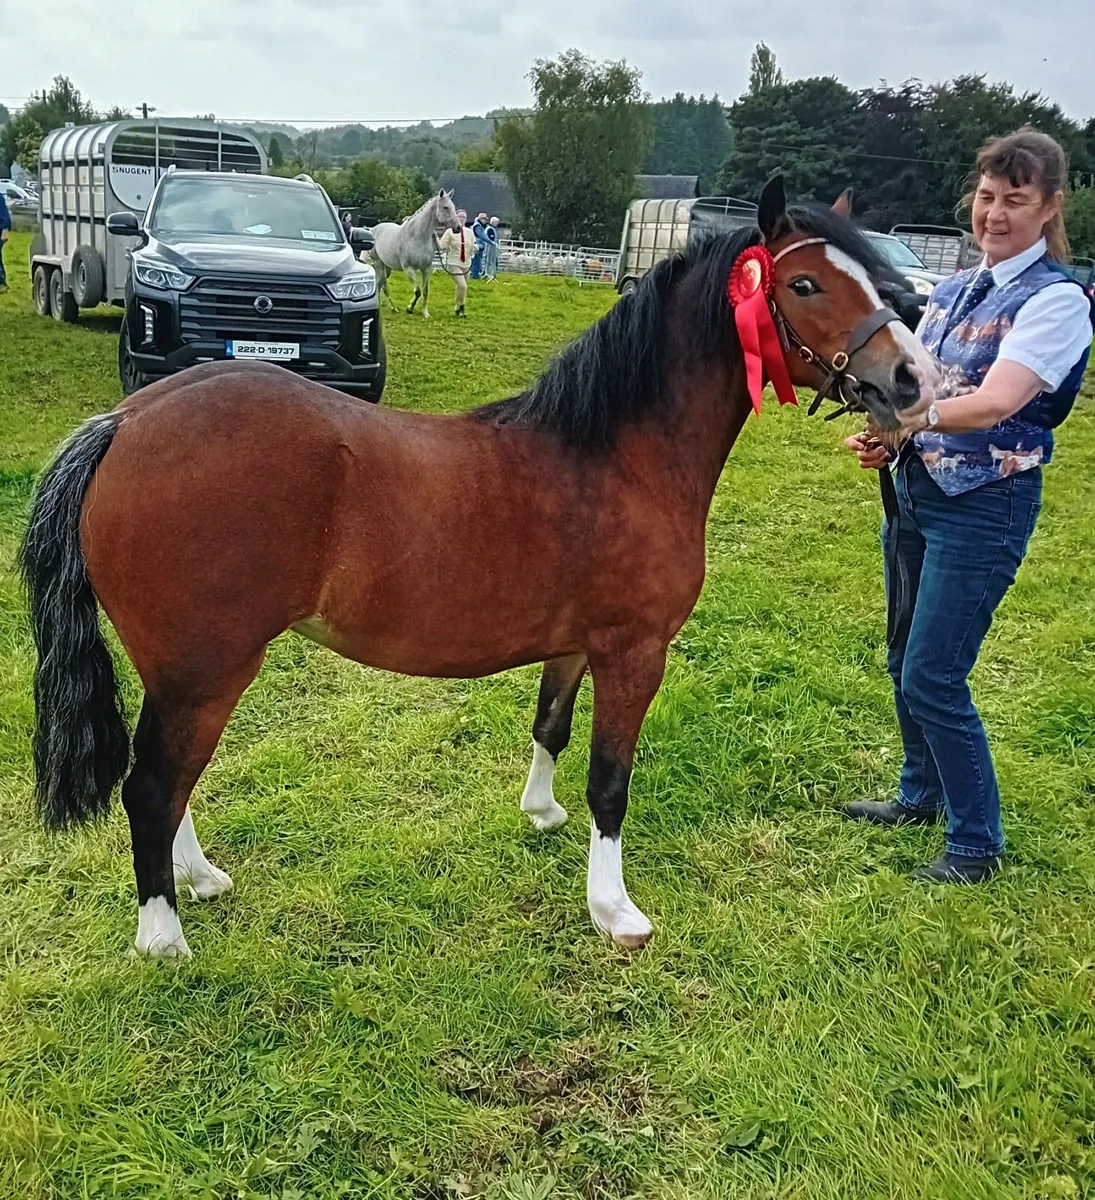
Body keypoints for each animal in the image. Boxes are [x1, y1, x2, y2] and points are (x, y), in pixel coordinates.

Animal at [367, 189, 460, 319]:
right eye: (445, 207)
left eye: (453, 207)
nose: (458, 227)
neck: (417, 236)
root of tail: (373, 229)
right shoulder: (409, 269)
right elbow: (418, 291)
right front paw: (409, 308)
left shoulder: (426, 268)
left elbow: (425, 291)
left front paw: (425, 313)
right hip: (378, 263)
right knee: (381, 284)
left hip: (387, 268)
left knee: (381, 284)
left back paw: (392, 308)